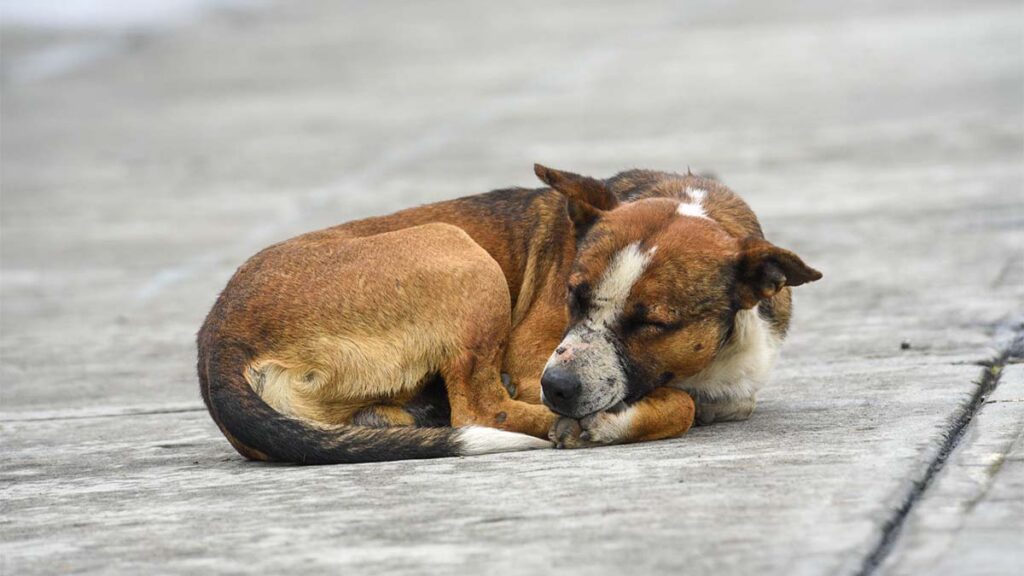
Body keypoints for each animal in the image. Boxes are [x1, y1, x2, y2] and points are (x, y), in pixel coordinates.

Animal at [197, 162, 823, 461]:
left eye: (652, 322)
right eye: (572, 294)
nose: (558, 388)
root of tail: (217, 343)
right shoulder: (530, 359)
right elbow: (682, 408)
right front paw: (611, 422)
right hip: (460, 254)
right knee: (479, 407)